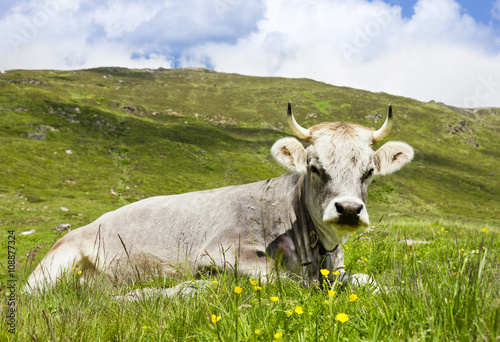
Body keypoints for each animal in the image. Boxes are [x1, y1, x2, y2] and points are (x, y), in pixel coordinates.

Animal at [25, 101, 412, 294]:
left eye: (369, 172)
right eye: (315, 168)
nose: (348, 209)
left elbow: (369, 281)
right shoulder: (222, 251)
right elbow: (283, 279)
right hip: (53, 267)